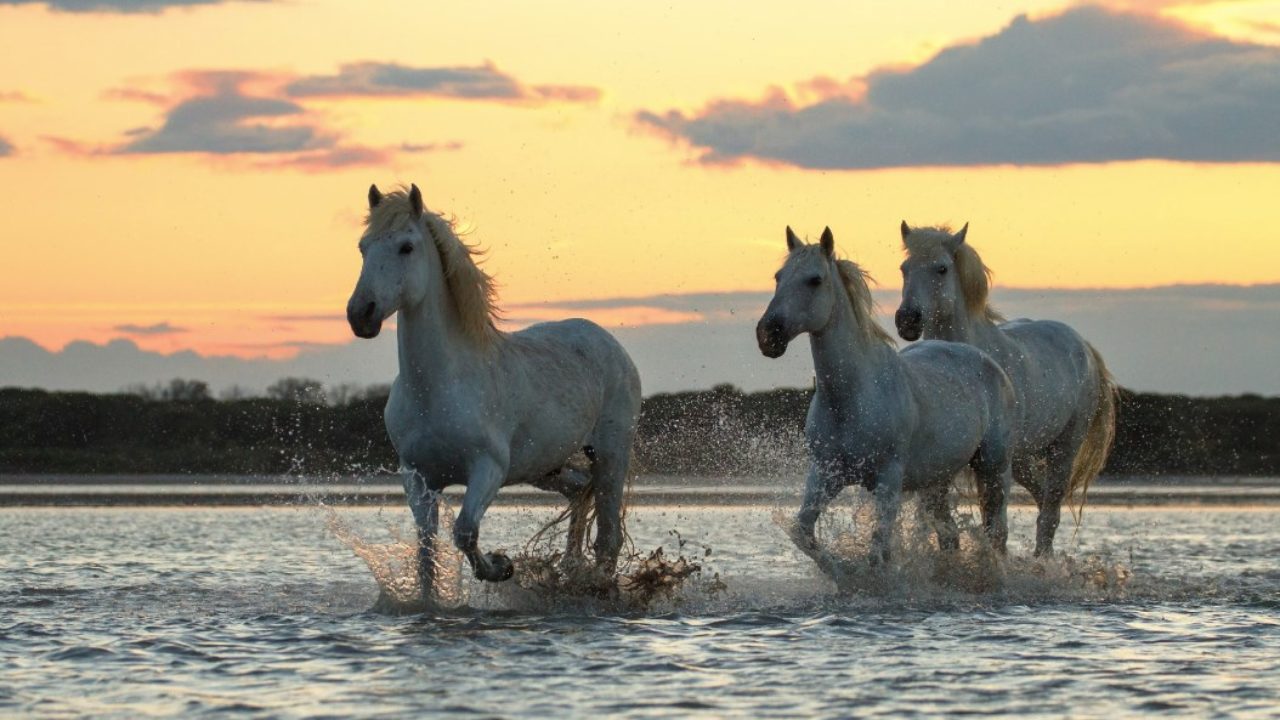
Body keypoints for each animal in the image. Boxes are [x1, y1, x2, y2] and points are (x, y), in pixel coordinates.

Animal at [348, 181, 640, 597]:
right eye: (363, 247)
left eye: (406, 246)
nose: (361, 314)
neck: (437, 389)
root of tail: (609, 343)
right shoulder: (417, 477)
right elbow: (427, 551)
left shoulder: (488, 469)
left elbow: (465, 532)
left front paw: (501, 567)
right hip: (545, 466)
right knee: (579, 494)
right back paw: (569, 569)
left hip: (611, 456)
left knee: (608, 537)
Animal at [752, 226, 1013, 563]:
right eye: (778, 277)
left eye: (815, 279)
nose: (768, 335)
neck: (851, 398)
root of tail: (989, 363)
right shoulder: (824, 475)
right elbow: (803, 533)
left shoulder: (888, 481)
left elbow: (878, 551)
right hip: (935, 482)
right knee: (951, 536)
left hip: (993, 468)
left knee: (997, 533)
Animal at [896, 221, 1116, 550]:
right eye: (904, 269)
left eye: (942, 268)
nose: (907, 320)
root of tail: (1084, 347)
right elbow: (947, 529)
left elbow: (994, 528)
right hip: (1022, 459)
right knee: (1042, 499)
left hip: (1063, 447)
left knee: (1049, 513)